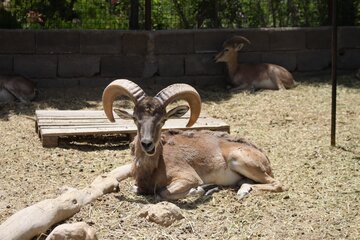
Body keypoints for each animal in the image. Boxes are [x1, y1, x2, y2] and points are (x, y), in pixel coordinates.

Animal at [102, 79, 286, 200]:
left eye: (163, 120)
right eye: (135, 118)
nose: (147, 144)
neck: (153, 168)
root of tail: (264, 158)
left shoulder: (188, 177)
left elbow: (164, 192)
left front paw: (201, 189)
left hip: (239, 158)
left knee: (276, 183)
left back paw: (241, 192)